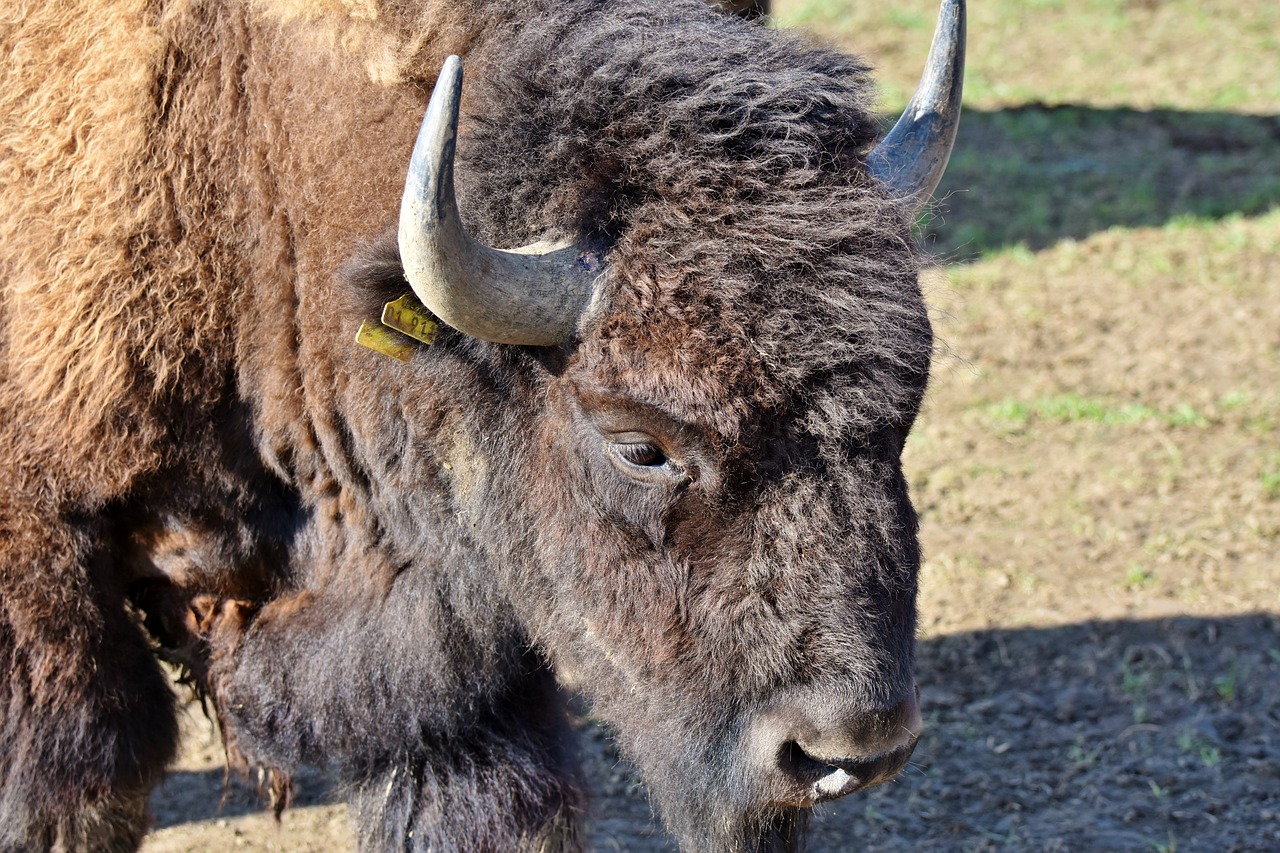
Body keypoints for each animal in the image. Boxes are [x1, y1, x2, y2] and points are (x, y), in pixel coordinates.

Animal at [0, 1, 962, 850]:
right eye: (640, 447)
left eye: (904, 408)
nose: (849, 751)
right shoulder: (41, 551)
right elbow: (83, 786)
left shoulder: (444, 641)